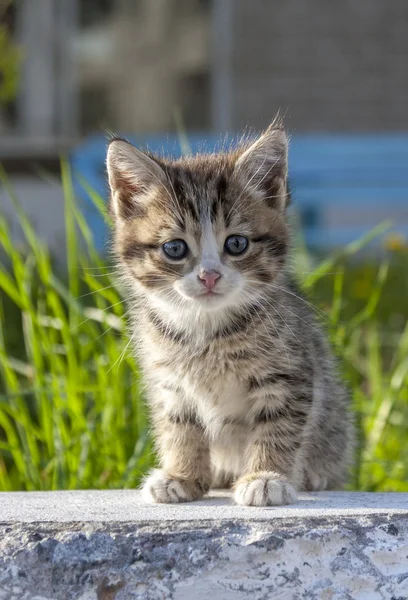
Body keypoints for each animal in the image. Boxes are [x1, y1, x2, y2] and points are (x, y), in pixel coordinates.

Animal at [107, 120, 352, 506]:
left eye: (236, 243)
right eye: (174, 248)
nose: (209, 275)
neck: (208, 329)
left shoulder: (289, 374)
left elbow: (278, 426)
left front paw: (266, 477)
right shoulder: (170, 382)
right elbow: (179, 427)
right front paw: (182, 476)